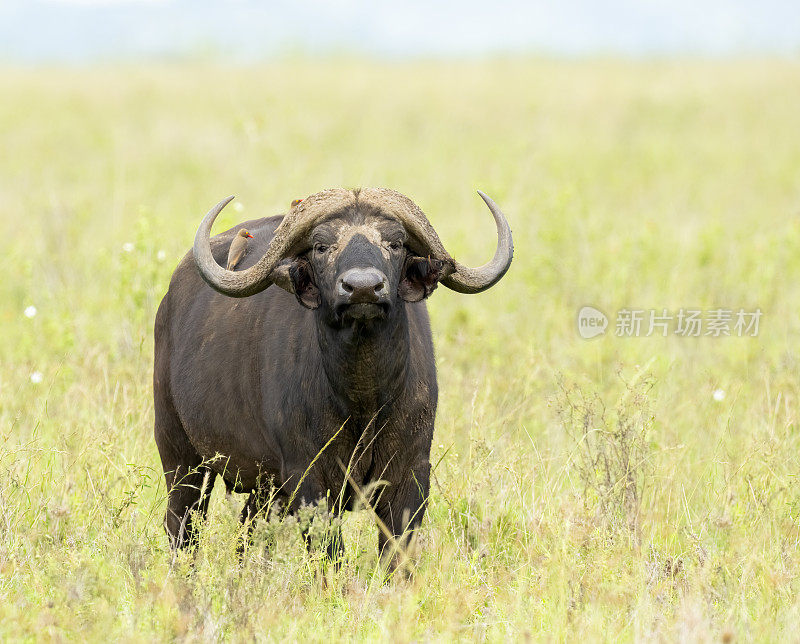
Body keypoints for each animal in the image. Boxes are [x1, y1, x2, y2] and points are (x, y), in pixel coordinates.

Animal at [154, 187, 516, 564]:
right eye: (320, 246)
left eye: (396, 243)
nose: (362, 288)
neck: (363, 396)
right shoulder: (308, 479)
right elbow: (329, 554)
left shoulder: (411, 474)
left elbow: (397, 555)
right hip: (180, 457)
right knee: (182, 527)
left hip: (263, 488)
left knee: (248, 533)